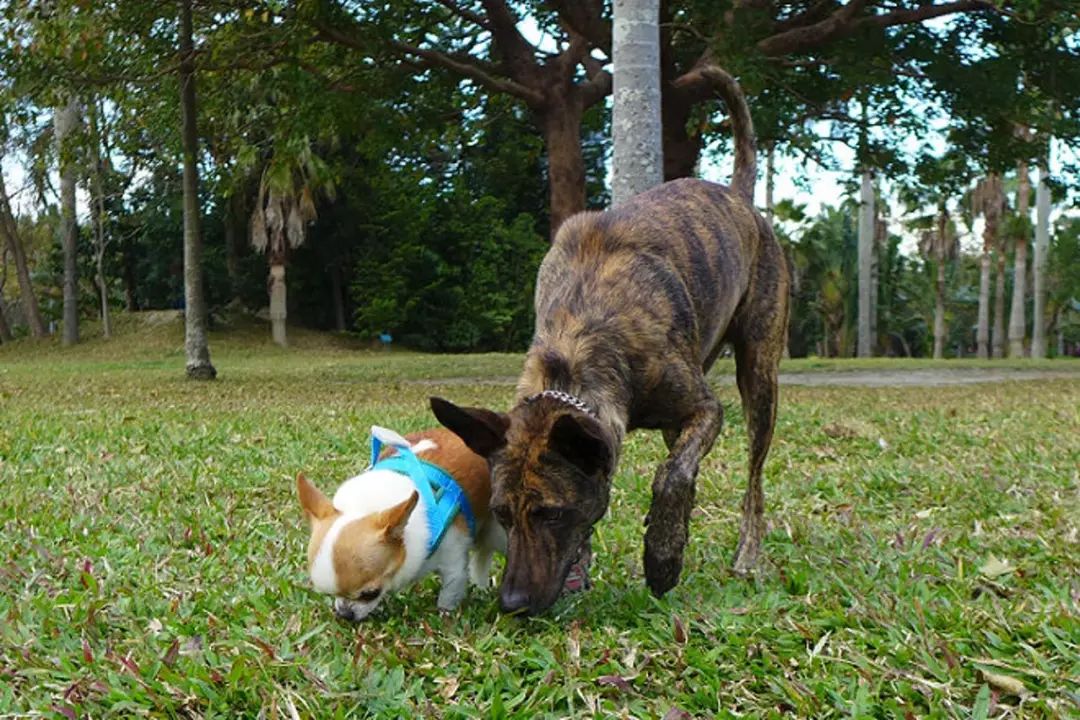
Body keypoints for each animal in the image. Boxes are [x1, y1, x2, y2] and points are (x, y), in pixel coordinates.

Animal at [429, 67, 794, 617]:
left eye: (553, 514)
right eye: (503, 514)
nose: (512, 603)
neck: (578, 336)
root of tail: (738, 198)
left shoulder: (704, 408)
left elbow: (672, 477)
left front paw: (662, 555)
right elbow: (677, 472)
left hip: (759, 373)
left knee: (752, 477)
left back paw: (746, 553)